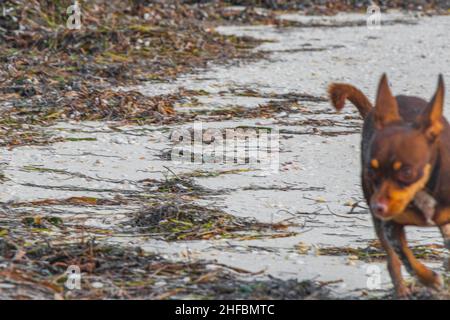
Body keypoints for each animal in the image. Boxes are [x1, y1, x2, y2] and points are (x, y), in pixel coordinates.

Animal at [328, 74, 448, 298]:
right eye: (371, 171)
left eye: (407, 172)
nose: (378, 207)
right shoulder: (391, 227)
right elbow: (407, 260)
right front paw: (430, 279)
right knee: (393, 261)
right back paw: (402, 290)